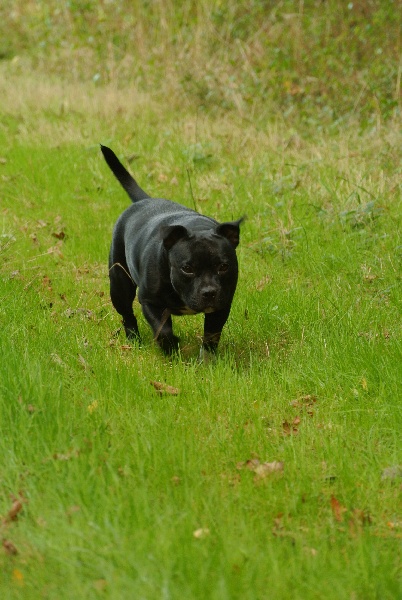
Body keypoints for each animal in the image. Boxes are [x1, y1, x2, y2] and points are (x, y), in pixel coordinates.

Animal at [102, 145, 242, 354]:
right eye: (187, 268)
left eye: (224, 267)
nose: (209, 292)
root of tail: (144, 200)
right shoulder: (150, 302)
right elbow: (163, 329)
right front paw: (171, 348)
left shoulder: (222, 305)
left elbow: (212, 334)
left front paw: (207, 357)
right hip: (119, 283)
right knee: (127, 314)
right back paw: (134, 340)